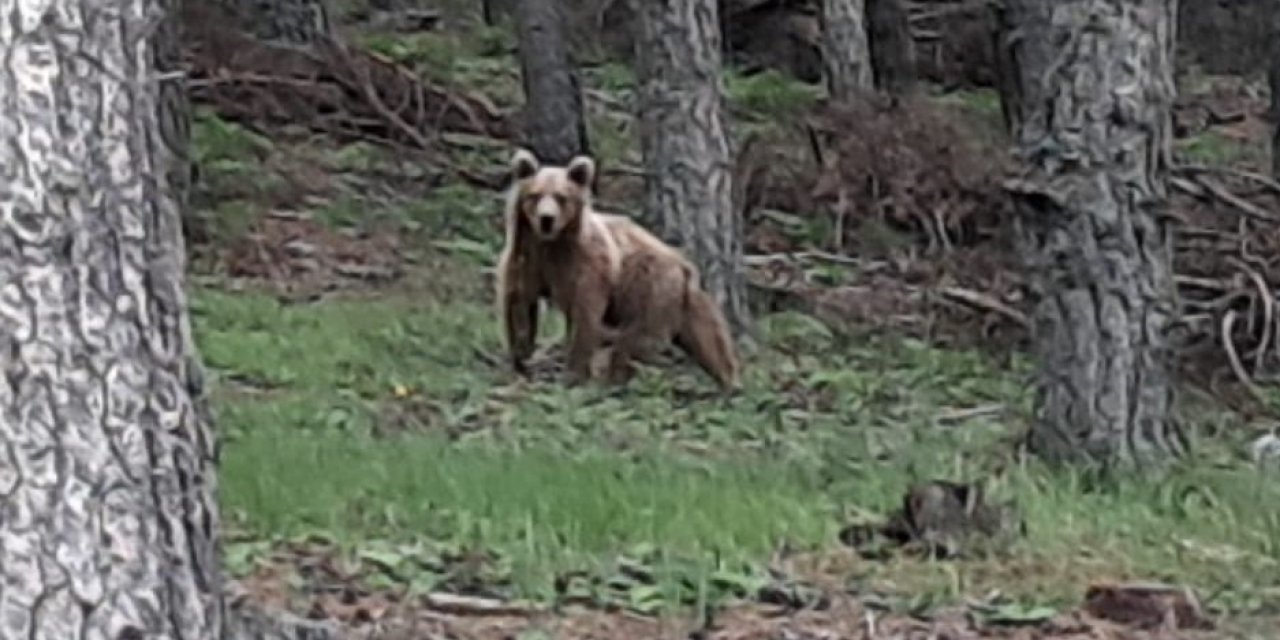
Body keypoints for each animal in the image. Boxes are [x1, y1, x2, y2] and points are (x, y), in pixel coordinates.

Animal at [496, 147, 747, 391]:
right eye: (535, 195)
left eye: (561, 197)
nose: (546, 218)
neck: (551, 243)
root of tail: (683, 265)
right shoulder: (527, 257)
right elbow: (519, 305)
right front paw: (520, 362)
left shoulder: (586, 264)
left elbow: (584, 314)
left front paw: (573, 374)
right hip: (681, 302)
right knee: (708, 339)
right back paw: (727, 381)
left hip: (649, 285)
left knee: (641, 337)